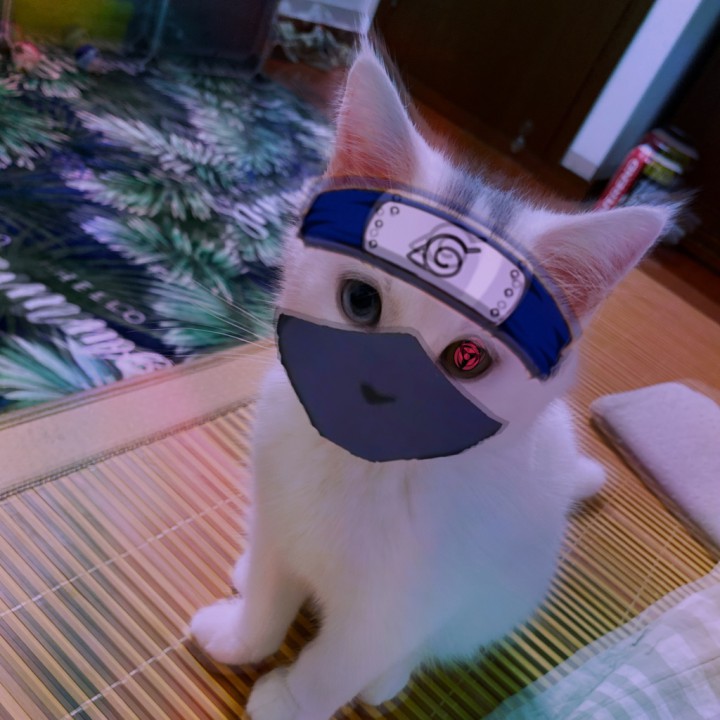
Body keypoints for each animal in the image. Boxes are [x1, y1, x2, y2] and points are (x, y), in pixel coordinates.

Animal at [190, 41, 671, 720]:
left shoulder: (398, 611)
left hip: (496, 599)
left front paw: (289, 701)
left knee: (435, 646)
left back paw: (387, 682)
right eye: (361, 301)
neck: (360, 468)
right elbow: (266, 596)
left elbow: (336, 666)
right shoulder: (278, 521)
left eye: (468, 358)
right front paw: (239, 637)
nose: (379, 387)